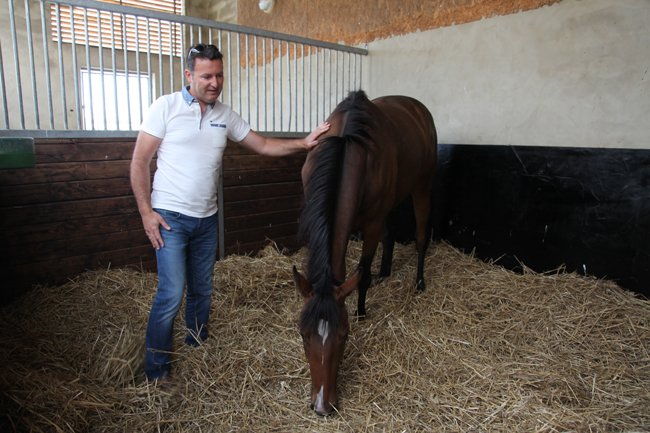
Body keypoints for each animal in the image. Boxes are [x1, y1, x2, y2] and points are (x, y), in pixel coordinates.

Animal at [292, 90, 438, 416]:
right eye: (304, 335)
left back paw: (419, 282)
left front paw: (360, 310)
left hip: (422, 187)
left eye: (344, 336)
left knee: (421, 237)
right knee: (391, 234)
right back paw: (386, 271)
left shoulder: (370, 226)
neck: (348, 145)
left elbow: (362, 273)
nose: (322, 405)